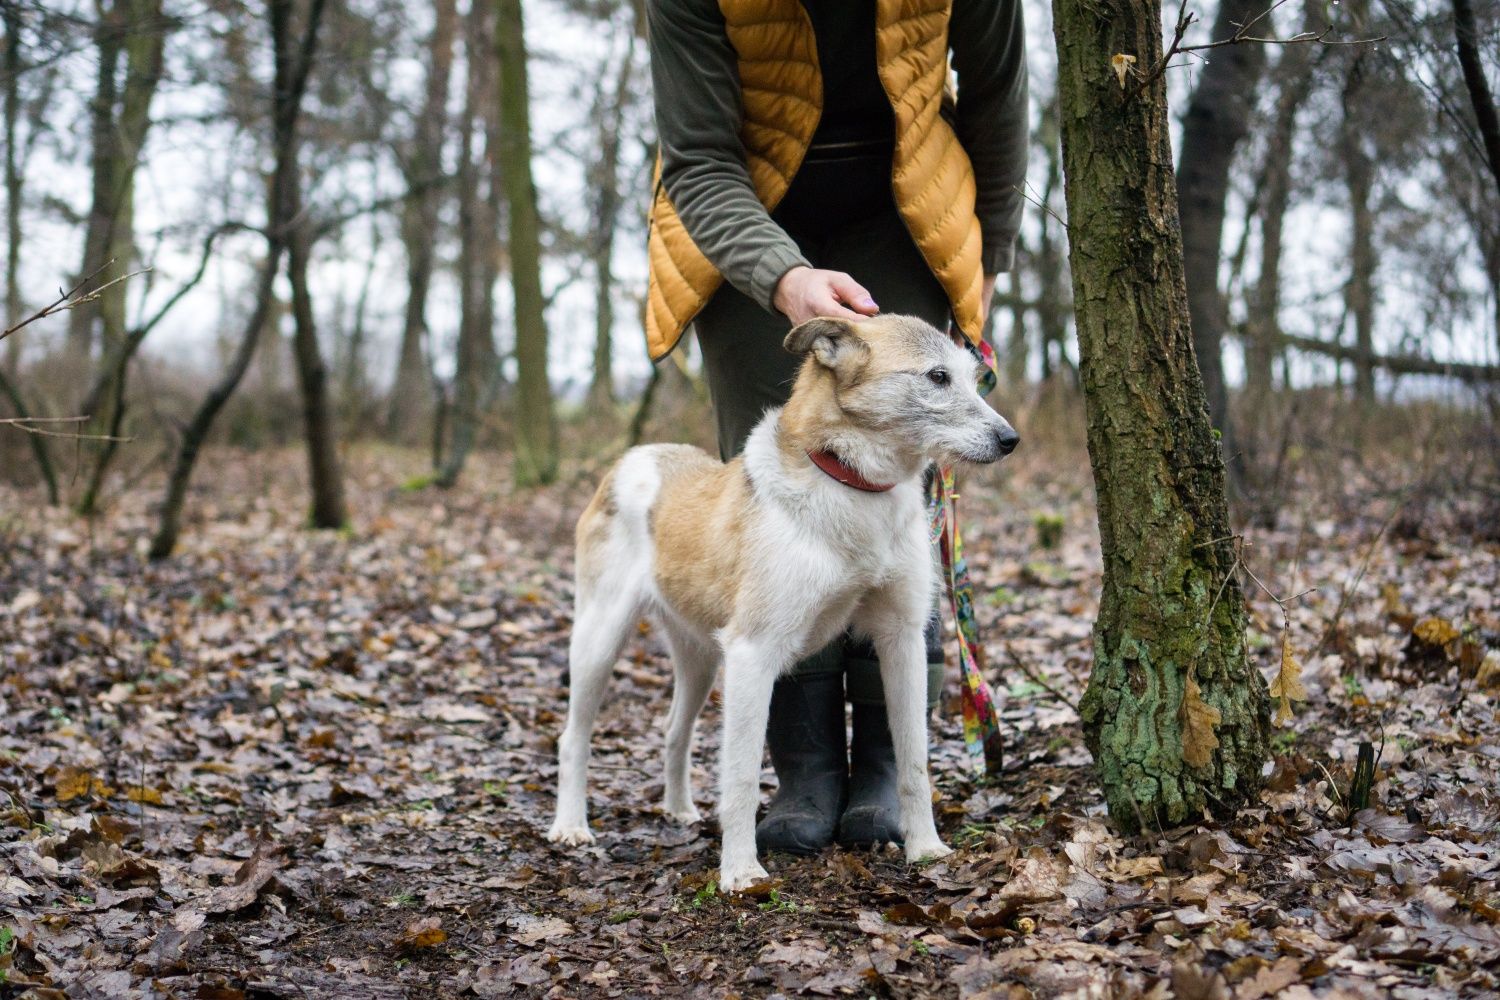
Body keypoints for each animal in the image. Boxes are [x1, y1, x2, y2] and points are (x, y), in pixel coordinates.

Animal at [546, 314, 1026, 893]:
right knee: (573, 737)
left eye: (975, 378)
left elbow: (912, 760)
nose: (1010, 439)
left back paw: (679, 809)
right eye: (937, 377)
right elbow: (741, 777)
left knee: (673, 731)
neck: (852, 487)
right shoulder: (754, 653)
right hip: (600, 638)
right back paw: (571, 826)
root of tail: (635, 457)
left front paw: (925, 848)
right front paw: (740, 872)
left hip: (701, 660)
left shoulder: (902, 640)